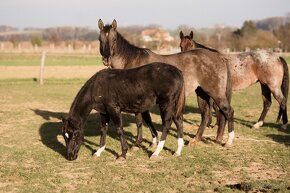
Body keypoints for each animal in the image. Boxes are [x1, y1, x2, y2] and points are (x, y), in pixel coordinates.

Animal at [97, 19, 236, 146]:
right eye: (100, 39)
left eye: (114, 39)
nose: (106, 58)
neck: (132, 61)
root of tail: (219, 57)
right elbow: (147, 120)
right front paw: (153, 141)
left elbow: (140, 120)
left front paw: (138, 143)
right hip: (202, 93)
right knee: (207, 115)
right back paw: (199, 140)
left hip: (215, 93)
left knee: (227, 111)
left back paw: (228, 141)